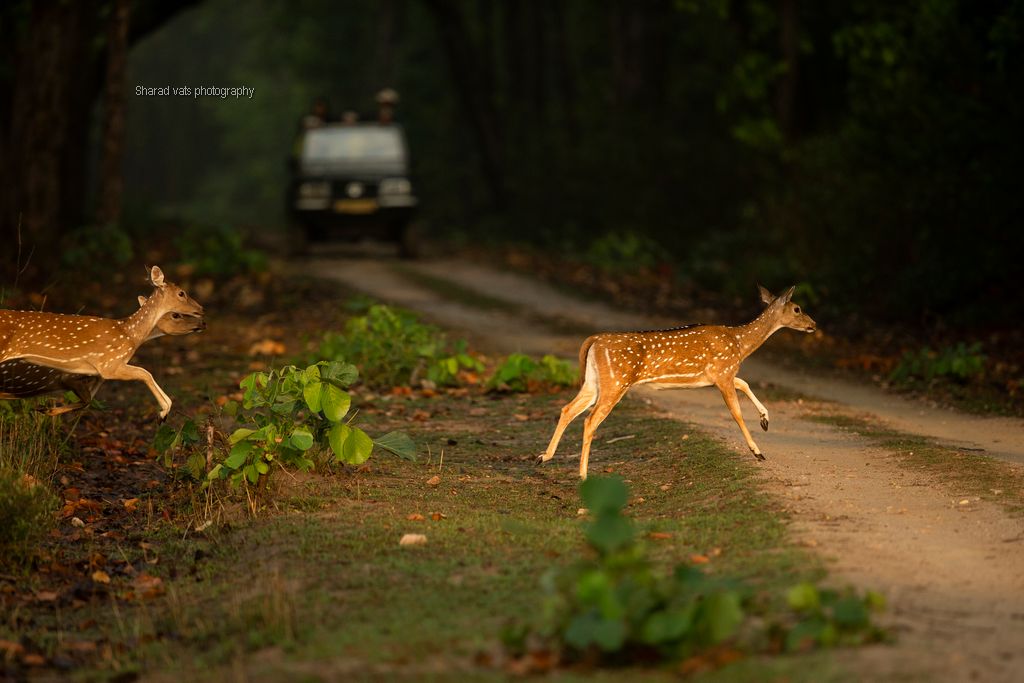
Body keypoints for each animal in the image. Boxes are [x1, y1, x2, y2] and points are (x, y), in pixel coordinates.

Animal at [0, 266, 205, 417]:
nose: (202, 314)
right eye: (181, 293)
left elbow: (88, 400)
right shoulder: (108, 364)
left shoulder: (97, 373)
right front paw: (164, 411)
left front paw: (46, 409)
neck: (130, 334)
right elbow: (145, 372)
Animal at [540, 286, 819, 479]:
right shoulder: (723, 371)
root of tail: (594, 340)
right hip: (615, 382)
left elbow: (745, 384)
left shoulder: (722, 375)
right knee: (589, 420)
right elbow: (737, 412)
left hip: (594, 382)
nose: (814, 325)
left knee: (568, 409)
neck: (740, 344)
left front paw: (765, 420)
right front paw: (758, 451)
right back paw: (583, 474)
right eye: (797, 308)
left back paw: (544, 456)